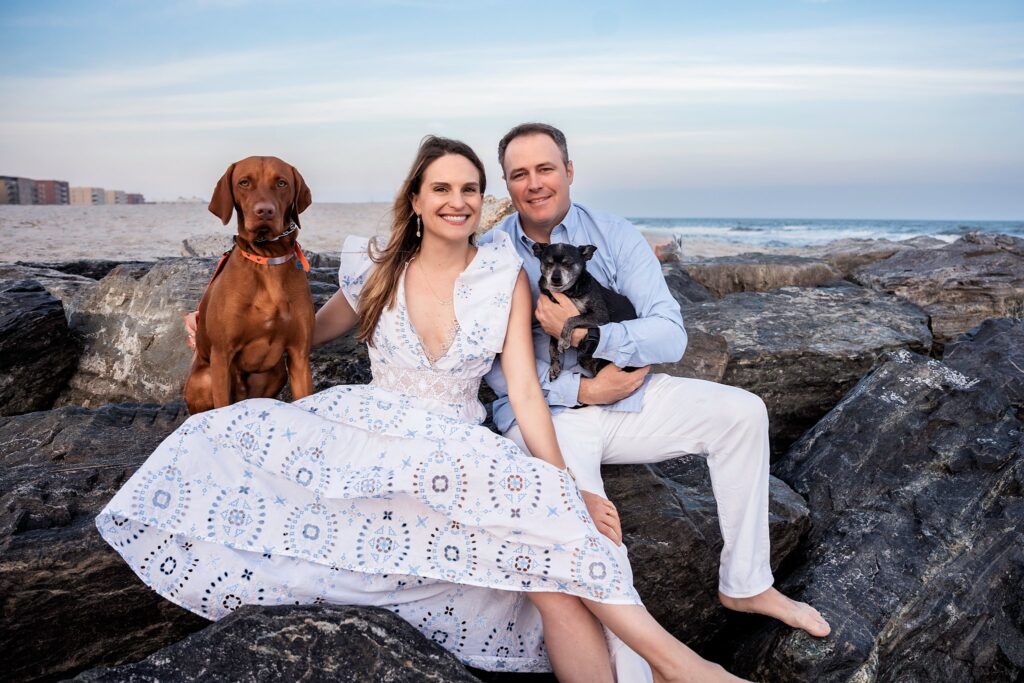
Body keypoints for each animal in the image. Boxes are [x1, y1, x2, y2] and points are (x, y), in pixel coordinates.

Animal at [183, 157, 311, 413]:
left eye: (281, 182)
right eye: (244, 182)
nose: (265, 211)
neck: (268, 260)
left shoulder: (299, 355)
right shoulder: (222, 356)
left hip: (276, 373)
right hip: (206, 377)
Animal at [532, 242, 634, 382]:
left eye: (568, 264)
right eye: (548, 263)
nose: (555, 278)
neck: (567, 292)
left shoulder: (600, 315)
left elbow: (571, 318)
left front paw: (564, 340)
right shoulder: (551, 328)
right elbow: (551, 347)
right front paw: (554, 367)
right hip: (584, 358)